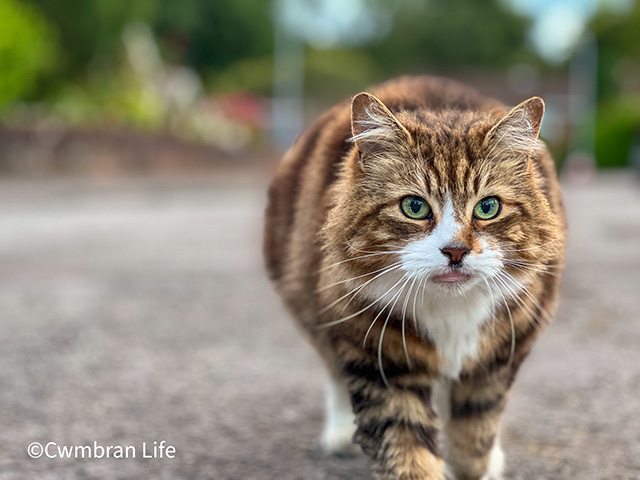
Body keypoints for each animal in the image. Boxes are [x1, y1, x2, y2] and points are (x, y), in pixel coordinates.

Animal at [264, 76, 564, 480]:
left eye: (487, 207)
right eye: (415, 206)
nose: (455, 251)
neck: (451, 312)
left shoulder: (496, 363)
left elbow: (474, 440)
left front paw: (476, 464)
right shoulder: (381, 363)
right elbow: (408, 451)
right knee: (333, 370)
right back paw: (339, 434)